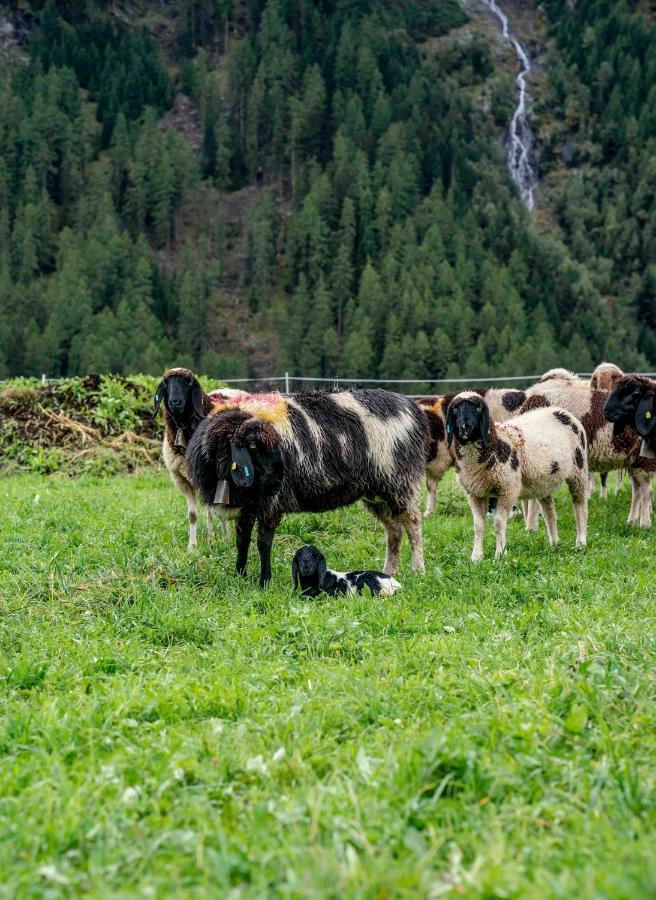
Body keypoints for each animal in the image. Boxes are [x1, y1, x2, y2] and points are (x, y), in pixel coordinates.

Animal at [186, 388, 430, 588]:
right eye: (253, 446)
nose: (278, 482)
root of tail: (411, 407)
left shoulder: (270, 504)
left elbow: (263, 543)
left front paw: (264, 582)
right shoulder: (248, 506)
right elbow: (242, 540)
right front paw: (240, 574)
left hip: (399, 480)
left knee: (413, 523)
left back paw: (418, 569)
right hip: (376, 491)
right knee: (394, 529)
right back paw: (389, 570)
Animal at [520, 370, 652, 532]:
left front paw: (531, 528)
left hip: (642, 458)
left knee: (645, 488)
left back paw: (644, 523)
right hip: (633, 458)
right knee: (638, 488)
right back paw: (632, 521)